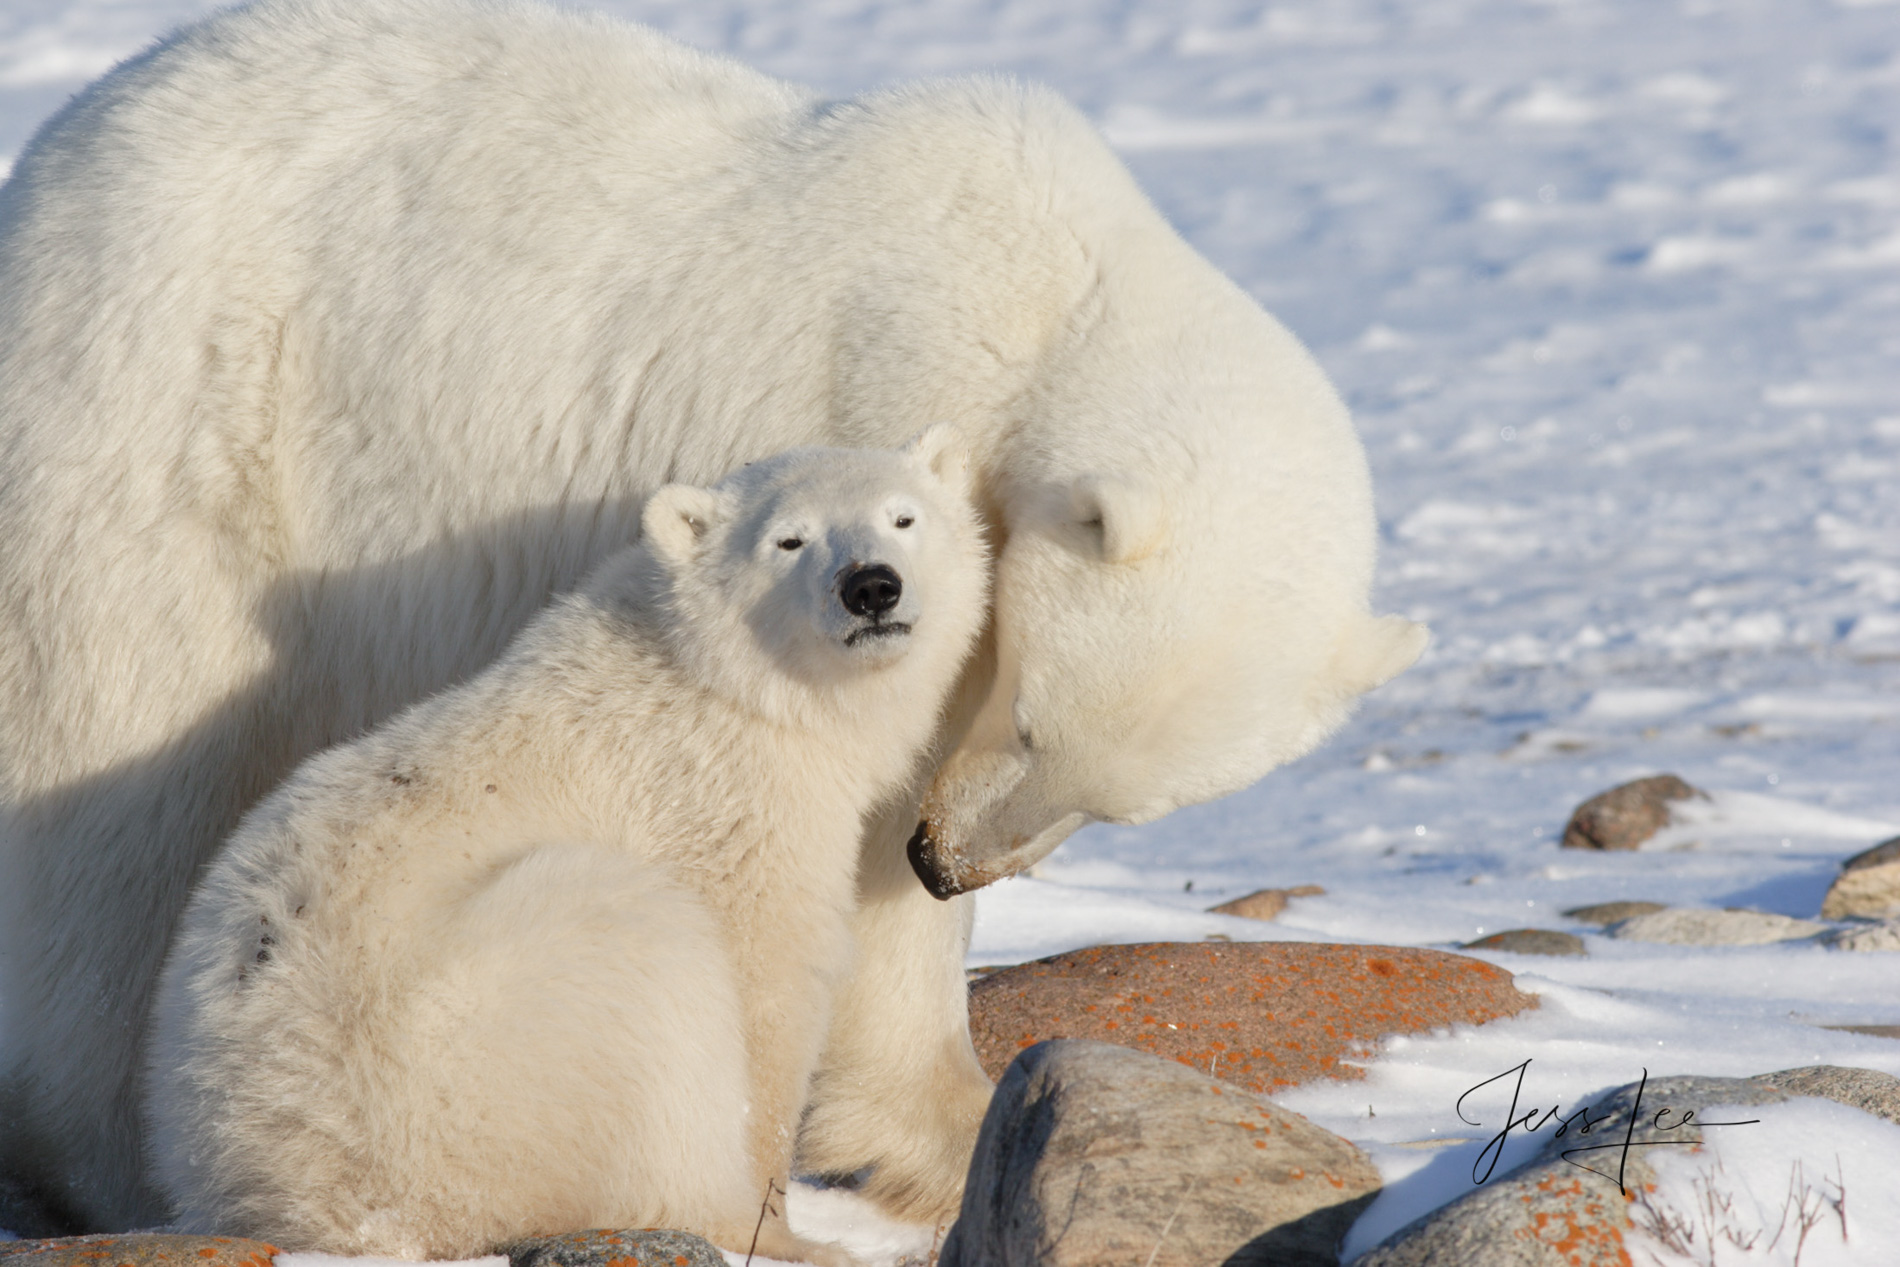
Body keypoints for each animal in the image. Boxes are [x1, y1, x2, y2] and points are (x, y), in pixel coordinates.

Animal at [0, 0, 1428, 1238]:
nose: (947, 861)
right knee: (116, 797)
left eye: (1120, 806)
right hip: (174, 440)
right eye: (1031, 718)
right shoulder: (854, 412)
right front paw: (944, 1120)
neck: (1043, 299)